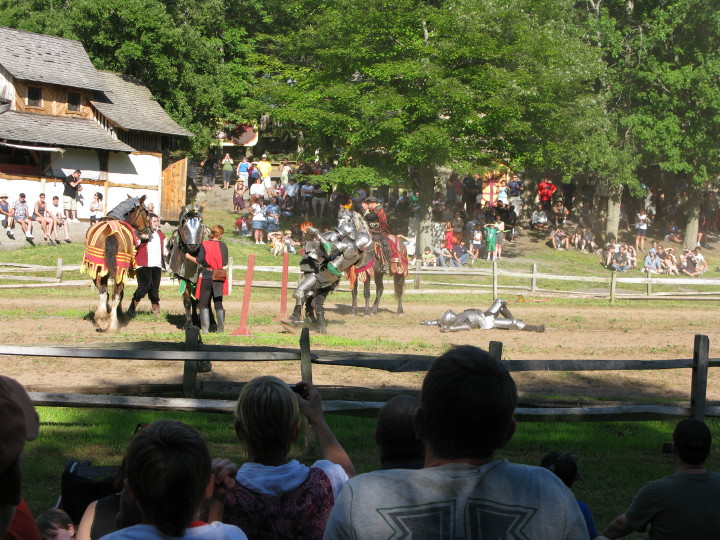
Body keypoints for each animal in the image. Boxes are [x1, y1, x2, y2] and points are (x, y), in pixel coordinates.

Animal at [80, 194, 150, 330]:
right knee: (116, 294)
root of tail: (112, 231)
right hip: (118, 270)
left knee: (103, 292)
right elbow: (120, 294)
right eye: (145, 212)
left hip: (98, 269)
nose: (148, 231)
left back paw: (102, 318)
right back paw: (113, 323)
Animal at [164, 202, 208, 330]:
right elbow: (188, 301)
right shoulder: (182, 278)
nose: (193, 245)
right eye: (184, 221)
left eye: (200, 221)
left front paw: (199, 322)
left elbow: (198, 300)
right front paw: (189, 323)